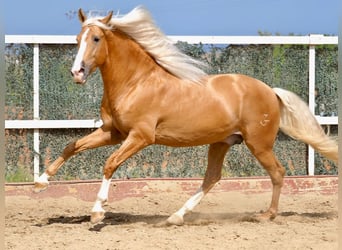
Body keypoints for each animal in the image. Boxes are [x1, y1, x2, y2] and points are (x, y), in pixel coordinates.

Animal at [33, 6, 338, 225]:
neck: (136, 83)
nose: (77, 73)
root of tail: (270, 91)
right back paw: (175, 217)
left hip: (259, 143)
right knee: (212, 177)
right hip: (221, 142)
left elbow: (110, 164)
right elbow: (72, 146)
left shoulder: (140, 137)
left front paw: (97, 213)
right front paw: (40, 182)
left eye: (96, 38)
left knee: (277, 172)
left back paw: (267, 214)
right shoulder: (114, 132)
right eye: (77, 40)